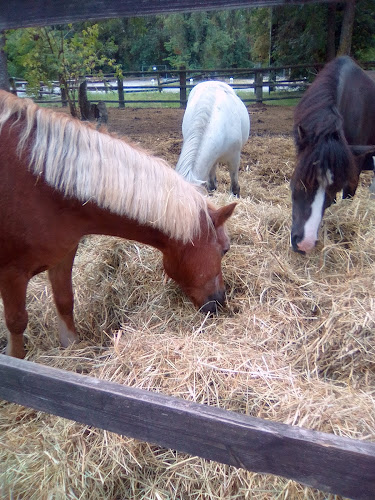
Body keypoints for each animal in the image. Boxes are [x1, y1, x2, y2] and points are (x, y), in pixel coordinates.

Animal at [0, 89, 235, 356]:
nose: (219, 302)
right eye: (224, 250)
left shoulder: (62, 256)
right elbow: (16, 322)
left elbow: (65, 301)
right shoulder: (11, 274)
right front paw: (15, 356)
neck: (44, 187)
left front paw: (72, 348)